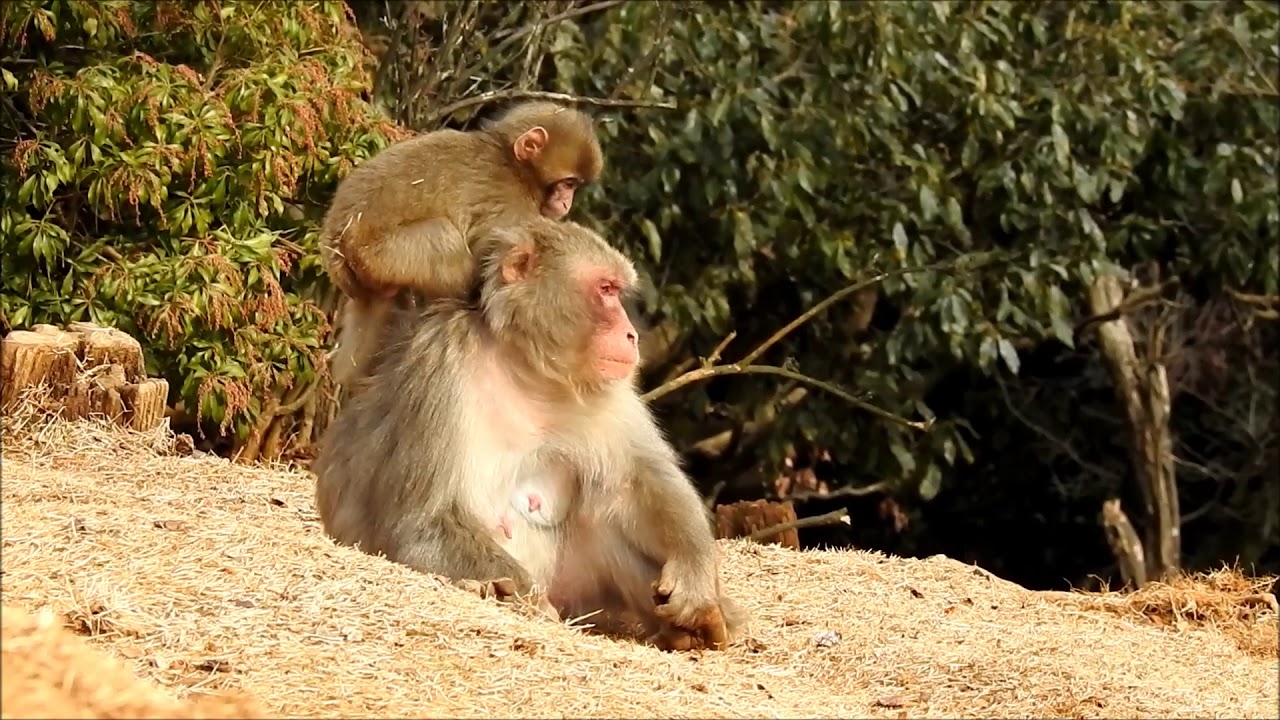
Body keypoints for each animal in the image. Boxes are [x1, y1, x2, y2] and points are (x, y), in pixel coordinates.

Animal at [312, 216, 746, 651]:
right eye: (606, 290)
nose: (630, 335)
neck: (524, 367)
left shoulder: (605, 389)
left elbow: (636, 480)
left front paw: (694, 574)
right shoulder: (440, 361)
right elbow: (422, 521)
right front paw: (525, 600)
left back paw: (698, 627)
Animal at [319, 100, 605, 389]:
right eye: (567, 183)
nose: (566, 202)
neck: (513, 165)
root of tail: (334, 243)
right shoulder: (511, 202)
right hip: (378, 255)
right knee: (444, 239)